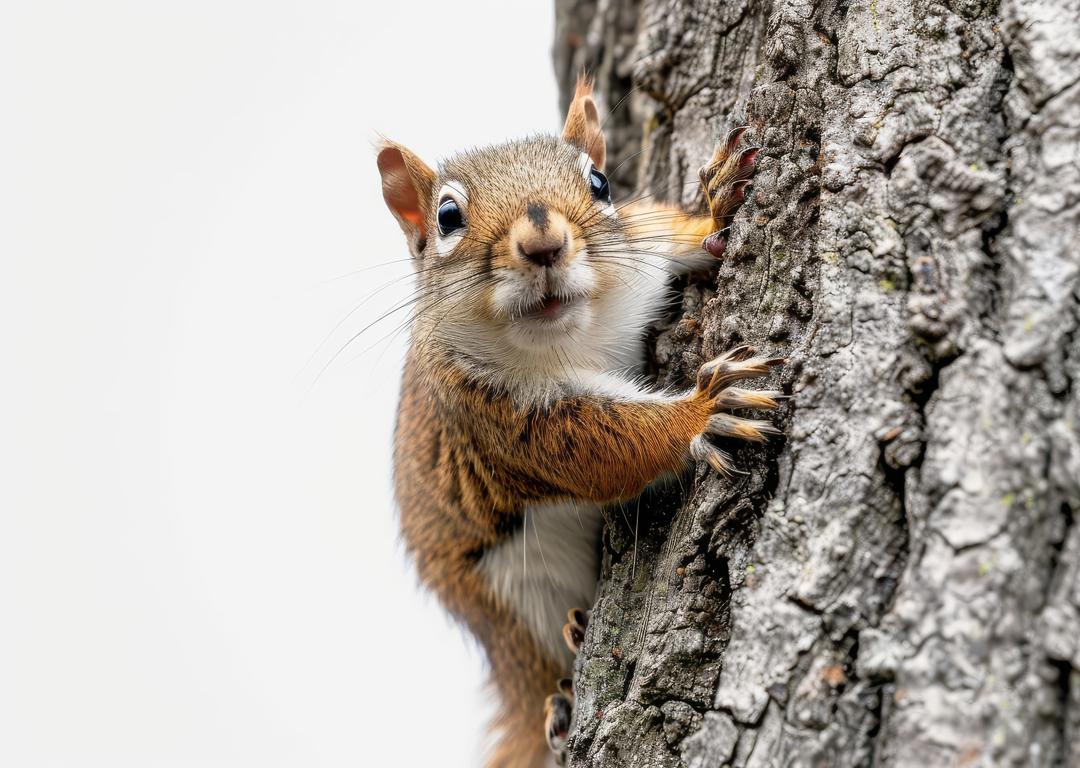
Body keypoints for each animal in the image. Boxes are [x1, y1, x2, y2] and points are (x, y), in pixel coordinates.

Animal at [378, 75, 777, 764]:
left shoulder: (641, 253)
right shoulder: (495, 413)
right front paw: (703, 412)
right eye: (448, 217)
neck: (571, 335)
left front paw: (716, 208)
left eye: (600, 183)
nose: (543, 245)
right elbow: (600, 446)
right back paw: (563, 685)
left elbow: (671, 235)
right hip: (512, 598)